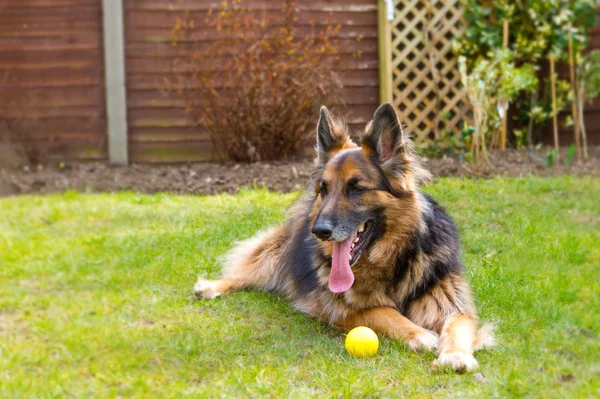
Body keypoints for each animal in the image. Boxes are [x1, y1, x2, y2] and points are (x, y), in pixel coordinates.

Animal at [195, 103, 494, 372]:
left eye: (357, 188)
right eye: (324, 189)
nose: (319, 231)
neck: (394, 260)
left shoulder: (451, 301)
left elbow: (457, 326)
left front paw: (455, 355)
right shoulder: (339, 309)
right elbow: (382, 312)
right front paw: (418, 333)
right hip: (275, 253)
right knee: (245, 272)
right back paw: (211, 286)